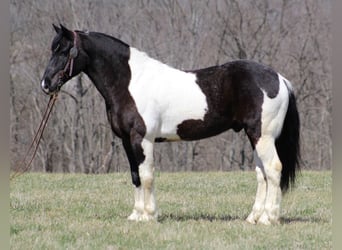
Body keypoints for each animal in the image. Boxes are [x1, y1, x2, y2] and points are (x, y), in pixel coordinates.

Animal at [41, 24, 300, 226]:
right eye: (53, 48)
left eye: (65, 50)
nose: (46, 84)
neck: (131, 82)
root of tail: (280, 79)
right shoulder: (126, 140)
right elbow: (135, 176)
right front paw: (136, 215)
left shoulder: (142, 139)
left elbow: (146, 176)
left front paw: (149, 216)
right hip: (255, 136)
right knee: (261, 174)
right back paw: (254, 217)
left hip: (263, 136)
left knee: (273, 169)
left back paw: (268, 218)